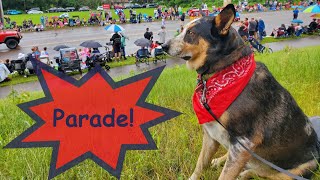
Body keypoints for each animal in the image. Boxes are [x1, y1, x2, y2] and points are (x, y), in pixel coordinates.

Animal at [162, 4, 320, 180]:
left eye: (191, 33)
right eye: (182, 29)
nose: (163, 46)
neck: (223, 70)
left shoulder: (243, 143)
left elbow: (224, 175)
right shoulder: (211, 135)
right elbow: (200, 165)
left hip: (291, 172)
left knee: (257, 172)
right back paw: (221, 161)